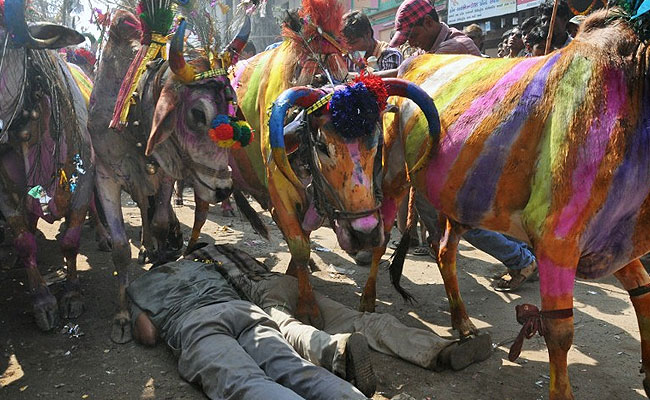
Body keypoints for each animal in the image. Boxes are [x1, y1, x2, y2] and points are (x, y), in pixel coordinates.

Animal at [0, 0, 95, 331]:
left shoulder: (84, 184)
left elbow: (70, 241)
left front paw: (73, 295)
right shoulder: (5, 194)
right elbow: (24, 241)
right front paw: (42, 301)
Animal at [89, 11, 251, 343]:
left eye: (231, 108)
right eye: (197, 113)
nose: (223, 189)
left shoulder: (164, 173)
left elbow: (161, 223)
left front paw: (159, 259)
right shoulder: (106, 176)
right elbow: (120, 248)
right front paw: (121, 317)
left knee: (145, 208)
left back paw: (148, 246)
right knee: (140, 206)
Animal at [359, 8, 650, 400]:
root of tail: (412, 62)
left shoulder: (613, 237)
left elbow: (643, 295)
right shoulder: (557, 239)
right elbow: (560, 332)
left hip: (457, 201)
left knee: (444, 252)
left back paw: (463, 322)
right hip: (393, 177)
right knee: (381, 241)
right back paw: (367, 302)